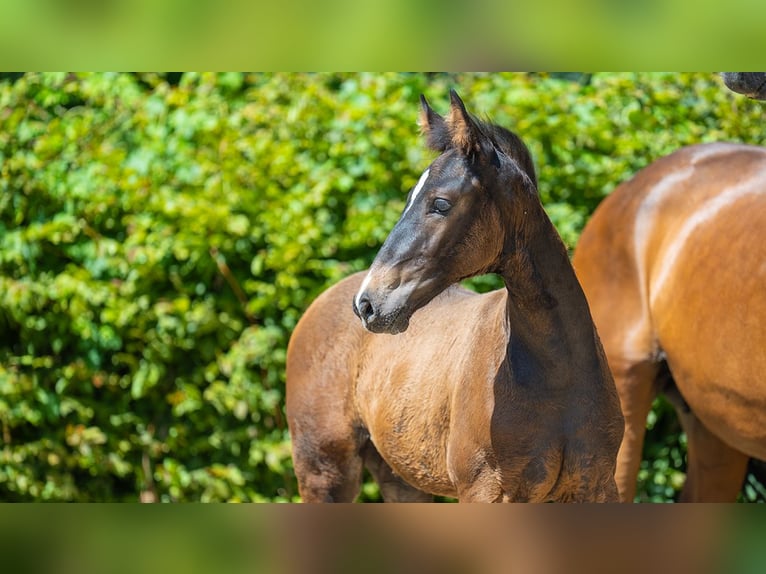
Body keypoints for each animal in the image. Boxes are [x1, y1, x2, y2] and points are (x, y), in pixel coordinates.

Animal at [284, 91, 628, 504]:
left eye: (441, 203)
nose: (368, 304)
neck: (556, 376)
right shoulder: (484, 490)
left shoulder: (597, 487)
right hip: (324, 471)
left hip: (400, 478)